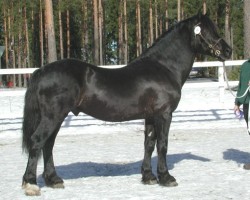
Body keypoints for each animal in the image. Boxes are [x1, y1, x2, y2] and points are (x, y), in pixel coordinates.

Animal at [22, 12, 231, 195]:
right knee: (37, 141)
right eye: (208, 30)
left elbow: (149, 144)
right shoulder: (164, 114)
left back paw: (53, 180)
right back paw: (31, 184)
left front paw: (148, 176)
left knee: (48, 145)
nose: (228, 51)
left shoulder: (150, 116)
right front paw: (166, 177)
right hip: (53, 116)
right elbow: (162, 145)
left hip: (57, 117)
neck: (164, 68)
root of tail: (41, 71)